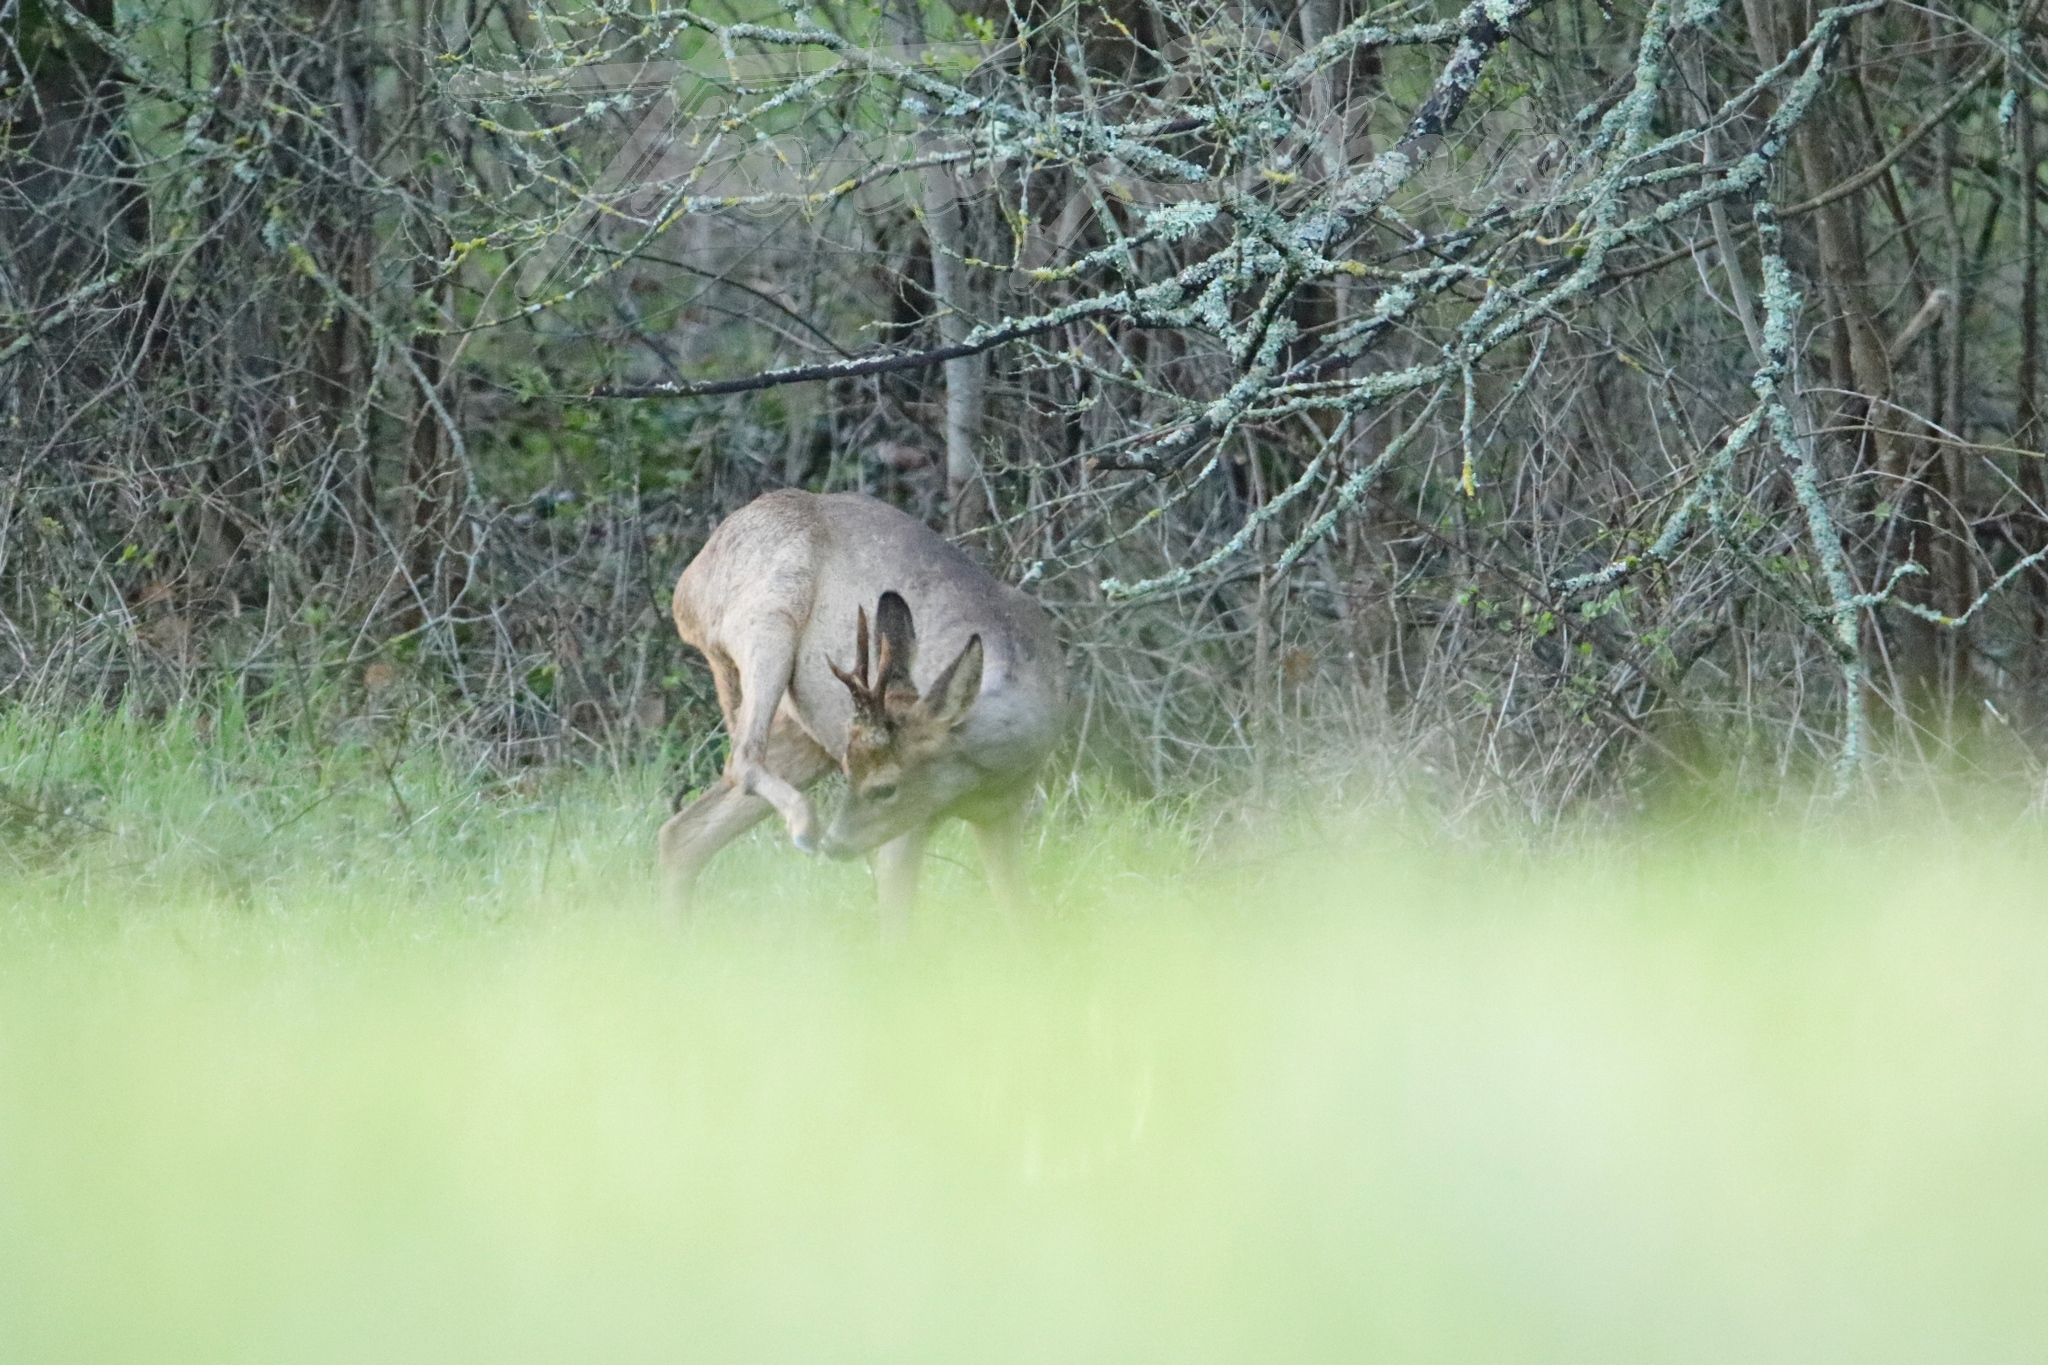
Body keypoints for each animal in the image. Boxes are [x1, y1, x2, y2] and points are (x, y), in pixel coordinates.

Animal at [659, 491, 1073, 929]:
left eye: (884, 787)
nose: (836, 845)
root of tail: (686, 584)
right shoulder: (907, 826)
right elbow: (895, 928)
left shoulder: (1003, 816)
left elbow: (1022, 921)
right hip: (769, 621)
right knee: (741, 757)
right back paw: (804, 828)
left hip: (805, 734)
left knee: (683, 833)